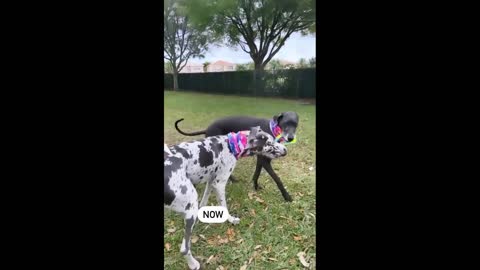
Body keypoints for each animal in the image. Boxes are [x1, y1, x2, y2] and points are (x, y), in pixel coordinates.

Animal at [163, 127, 286, 270]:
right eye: (269, 143)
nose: (285, 150)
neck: (231, 145)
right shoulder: (219, 184)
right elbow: (224, 206)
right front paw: (231, 219)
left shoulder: (211, 181)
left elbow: (204, 200)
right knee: (184, 249)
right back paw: (193, 264)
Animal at [172, 110, 300, 201]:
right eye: (285, 123)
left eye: (295, 124)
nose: (291, 138)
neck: (272, 129)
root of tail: (207, 128)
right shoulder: (265, 161)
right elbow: (277, 178)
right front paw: (286, 196)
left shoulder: (261, 159)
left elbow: (257, 173)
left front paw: (255, 186)